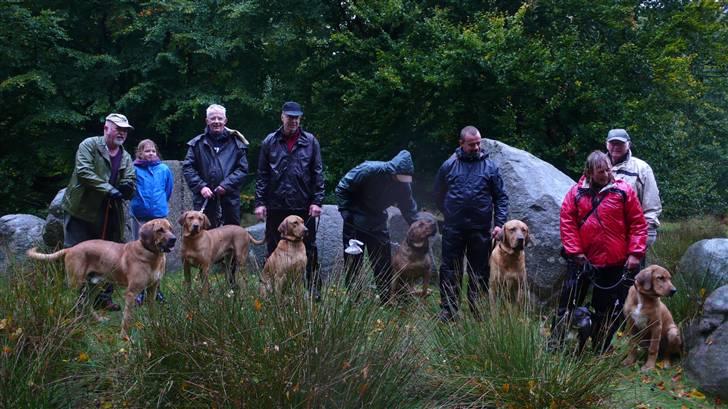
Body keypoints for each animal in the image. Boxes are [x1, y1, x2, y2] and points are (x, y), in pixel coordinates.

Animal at [26, 218, 176, 340]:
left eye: (170, 228)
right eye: (160, 230)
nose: (174, 239)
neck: (152, 255)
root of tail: (71, 249)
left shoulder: (152, 290)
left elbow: (152, 311)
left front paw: (155, 326)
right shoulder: (132, 293)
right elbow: (127, 318)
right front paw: (124, 336)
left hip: (96, 285)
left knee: (87, 304)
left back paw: (98, 319)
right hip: (76, 284)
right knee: (71, 302)